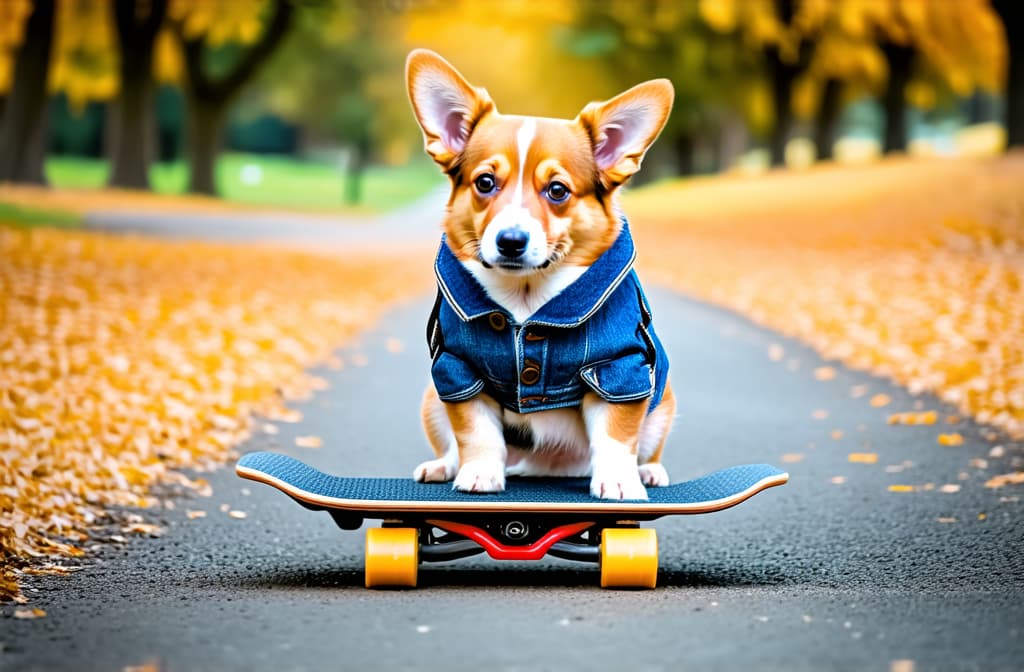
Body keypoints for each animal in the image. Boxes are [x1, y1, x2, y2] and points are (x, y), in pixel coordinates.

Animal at [403, 48, 675, 497]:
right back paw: (444, 465)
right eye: (485, 182)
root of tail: (549, 465)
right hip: (431, 400)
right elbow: (476, 432)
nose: (510, 240)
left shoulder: (619, 372)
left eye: (558, 190)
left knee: (645, 448)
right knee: (453, 445)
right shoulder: (458, 370)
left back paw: (649, 472)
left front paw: (621, 482)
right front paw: (480, 473)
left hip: (663, 403)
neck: (526, 299)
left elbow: (617, 437)